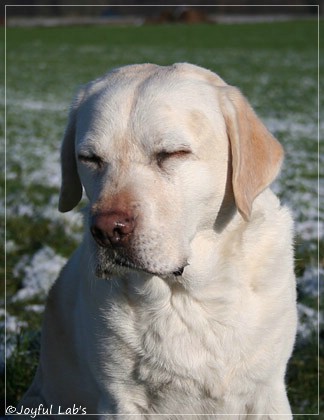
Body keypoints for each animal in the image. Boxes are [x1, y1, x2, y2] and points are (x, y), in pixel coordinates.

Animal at [20, 63, 298, 420]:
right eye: (90, 158)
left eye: (172, 153)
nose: (106, 230)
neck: (191, 297)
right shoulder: (120, 400)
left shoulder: (268, 391)